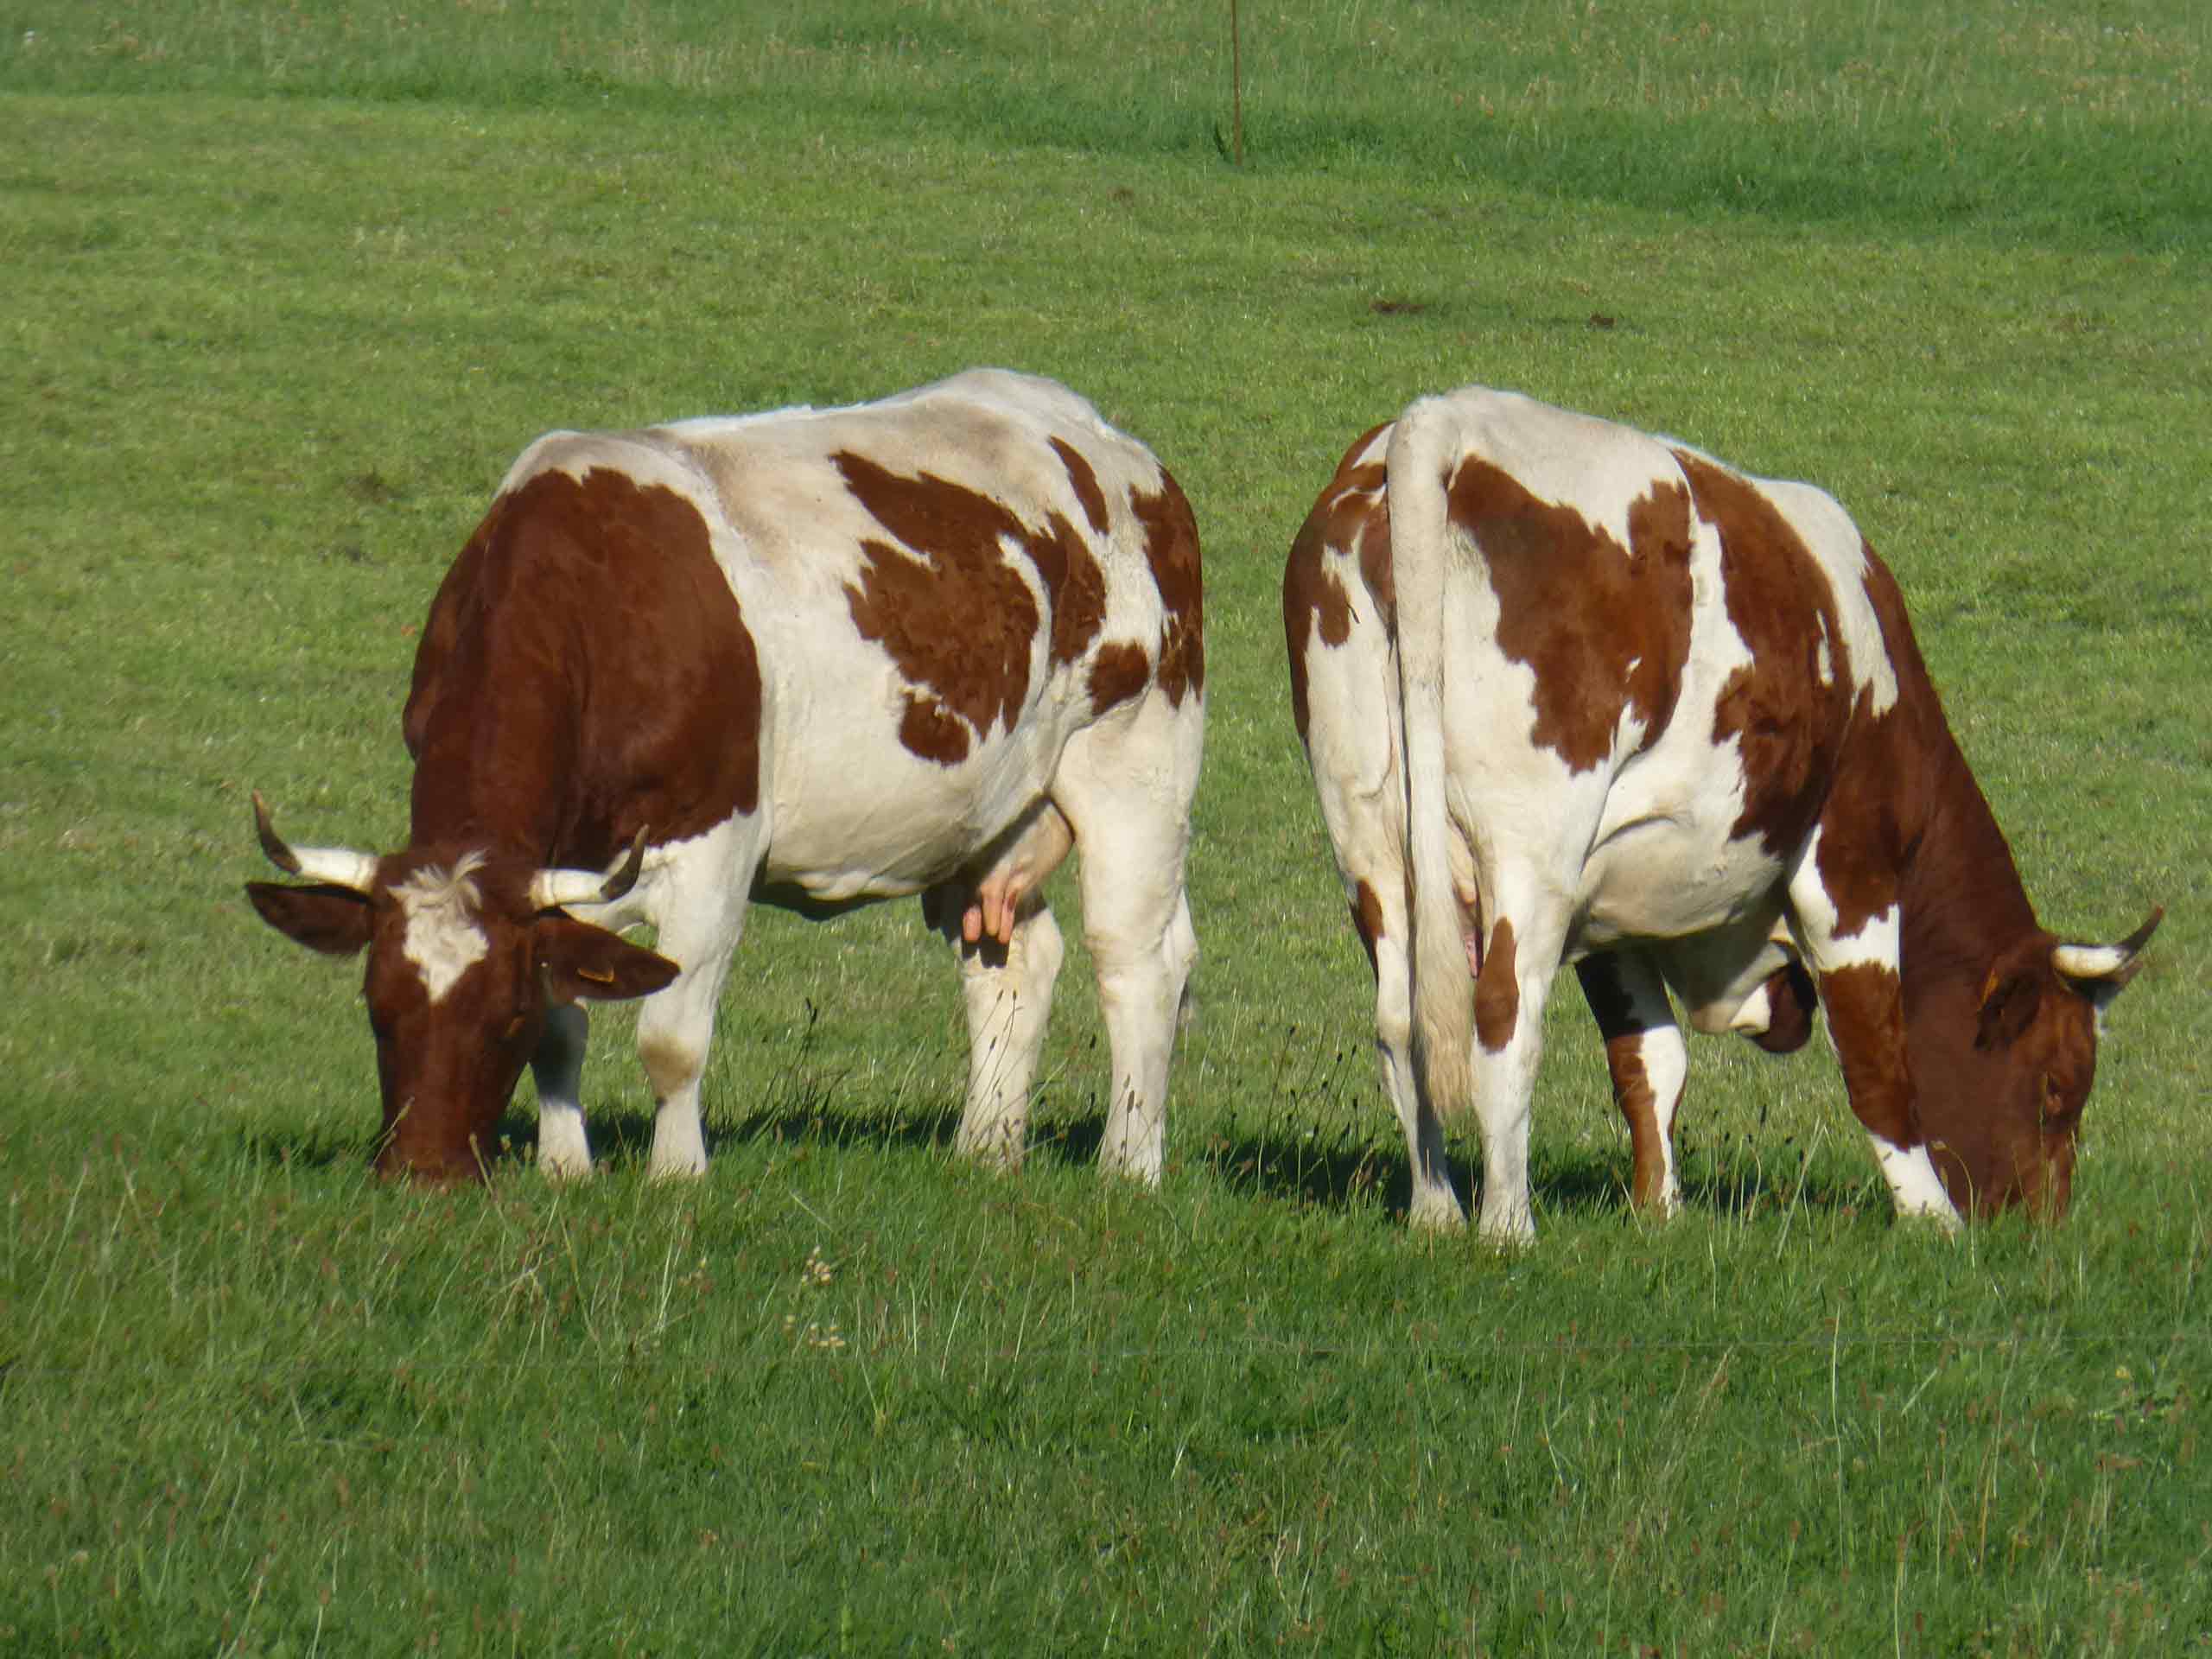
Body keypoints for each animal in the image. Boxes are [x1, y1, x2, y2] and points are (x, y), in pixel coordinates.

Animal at [254, 372, 1211, 1185]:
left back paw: (1127, 1166)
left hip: (1137, 757)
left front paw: (677, 1176)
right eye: (377, 1008)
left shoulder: (716, 847)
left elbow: (669, 1038)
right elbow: (572, 1028)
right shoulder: (564, 884)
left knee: (1137, 959)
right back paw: (983, 1153)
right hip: (987, 813)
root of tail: (1110, 443)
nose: (423, 1174)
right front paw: (568, 1171)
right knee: (1012, 964)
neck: (592, 601)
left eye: (503, 1019)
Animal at [1292, 389, 2150, 1238]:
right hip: (1530, 845)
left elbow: (1651, 1062)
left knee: (1402, 1020)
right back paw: (1508, 1227)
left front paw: (1662, 1211)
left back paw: (1436, 1213)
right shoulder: (1852, 865)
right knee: (1504, 1014)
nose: (2040, 1223)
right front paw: (1933, 1221)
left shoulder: (1609, 906)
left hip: (1370, 839)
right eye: (2057, 1086)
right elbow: (1876, 1059)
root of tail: (1443, 422)